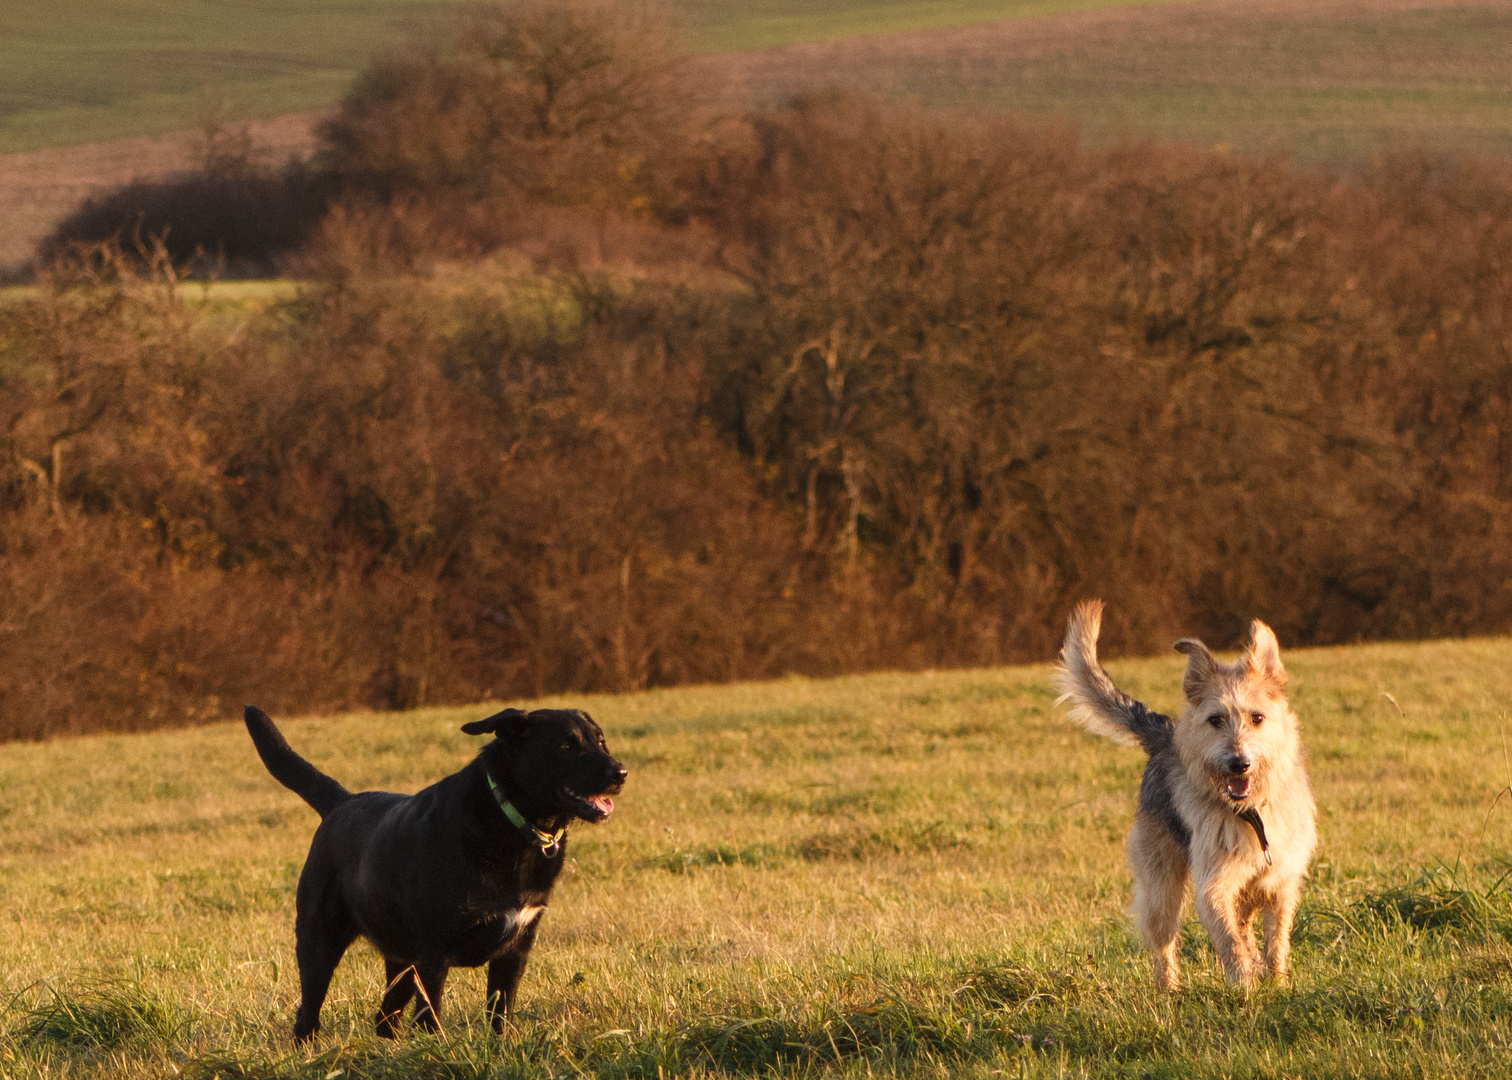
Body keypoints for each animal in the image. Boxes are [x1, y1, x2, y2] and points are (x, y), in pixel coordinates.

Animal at [244, 701, 622, 1040]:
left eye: (600, 741)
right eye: (566, 746)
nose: (621, 773)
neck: (510, 822)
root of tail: (341, 801)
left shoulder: (515, 950)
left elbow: (500, 1016)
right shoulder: (433, 953)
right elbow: (430, 1019)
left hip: (399, 960)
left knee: (385, 1017)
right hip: (320, 940)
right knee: (308, 1013)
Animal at [1058, 595, 1318, 986]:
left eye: (1257, 718)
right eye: (1215, 720)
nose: (1238, 763)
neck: (1250, 812)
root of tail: (1166, 733)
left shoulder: (1280, 883)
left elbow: (1275, 942)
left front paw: (1277, 983)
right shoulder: (1214, 884)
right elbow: (1229, 939)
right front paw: (1245, 987)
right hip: (1161, 886)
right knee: (1163, 942)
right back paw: (1168, 989)